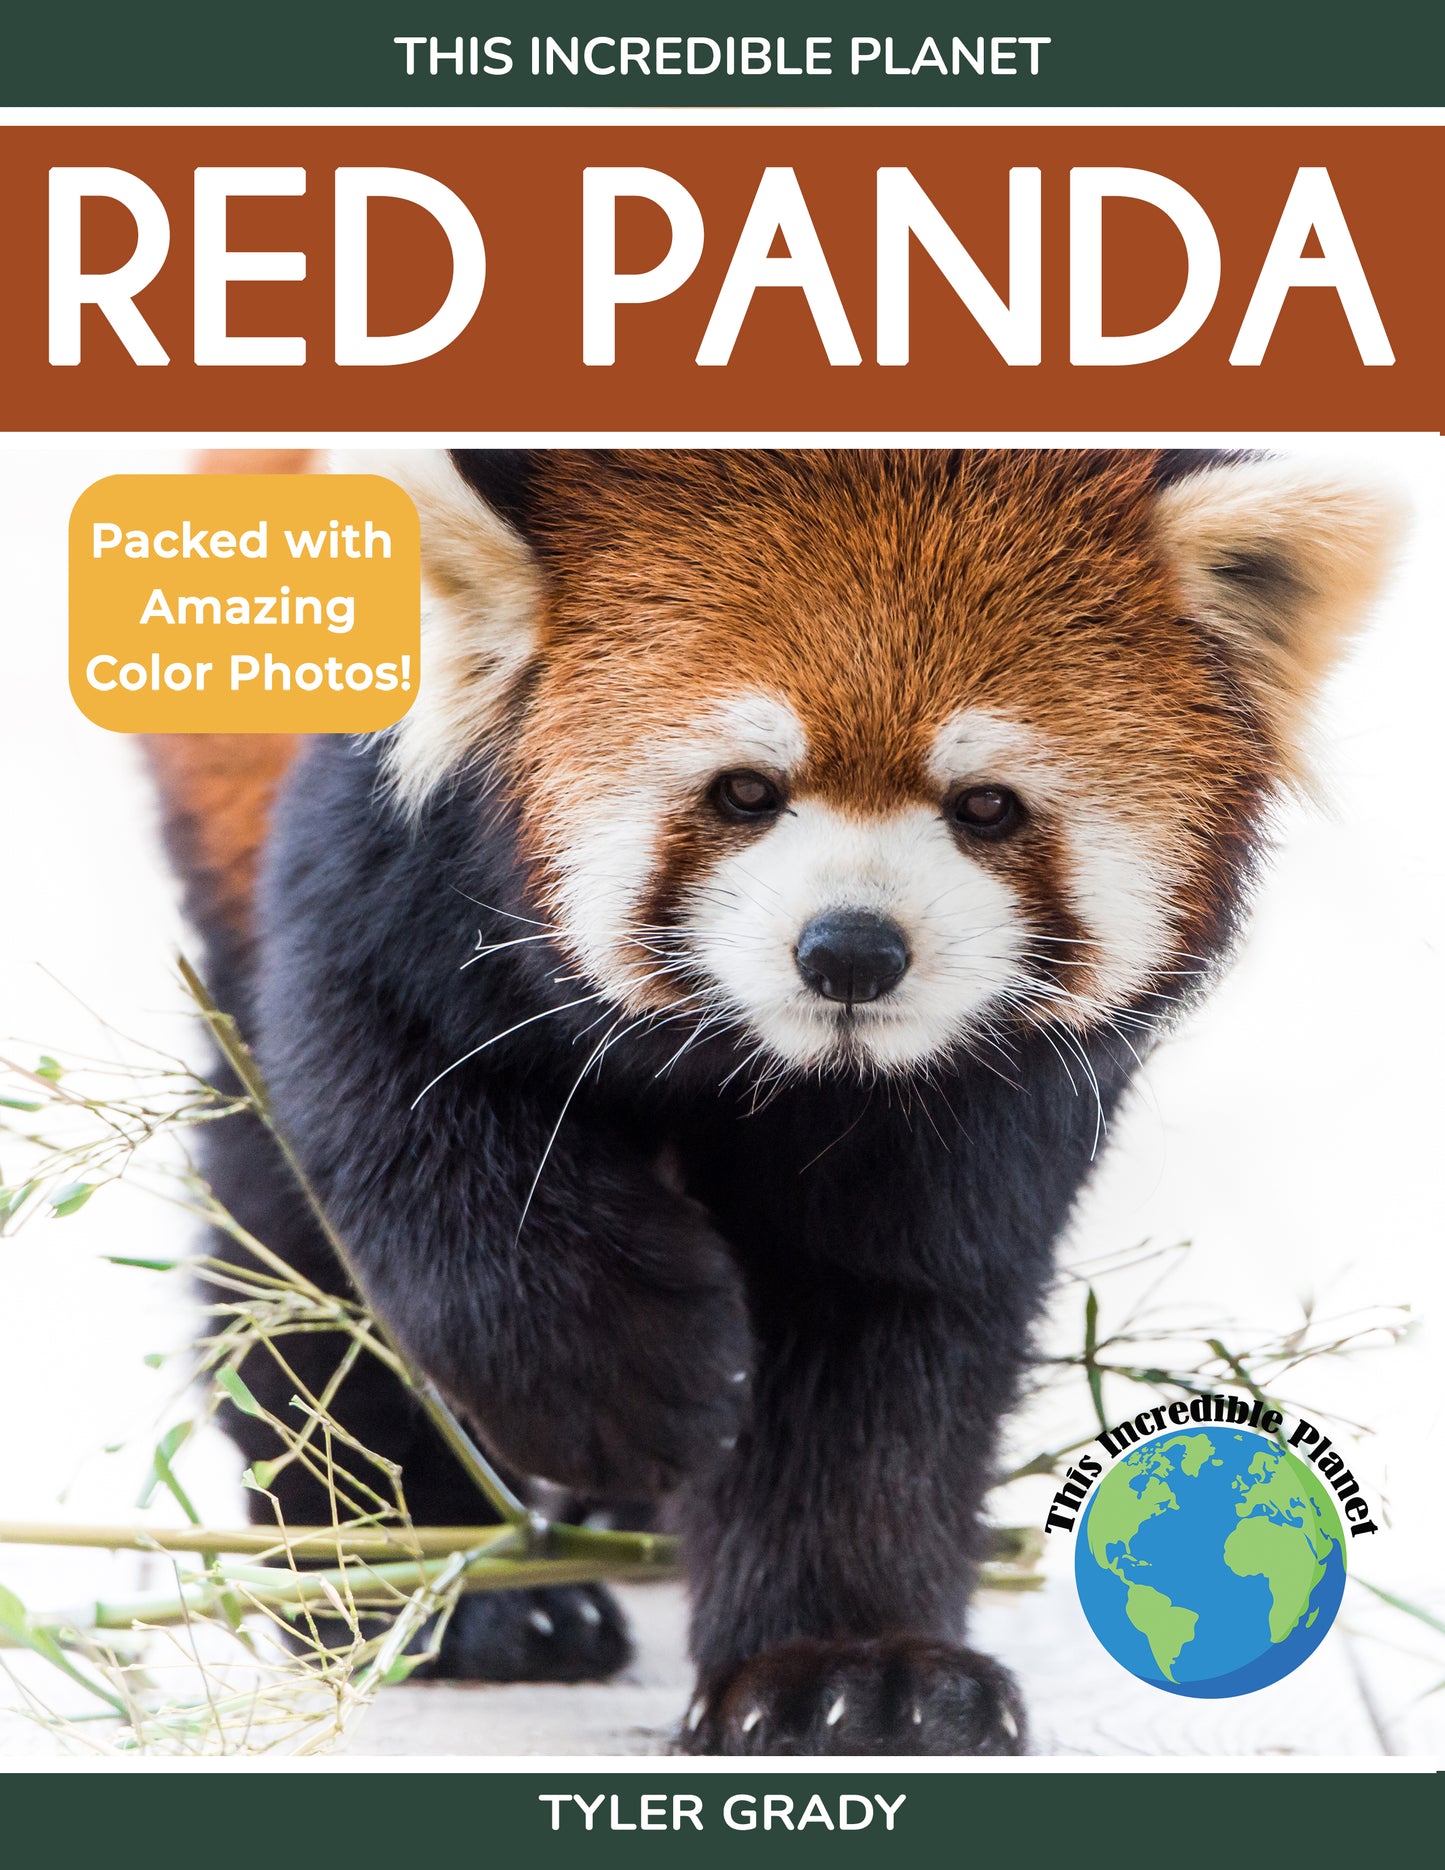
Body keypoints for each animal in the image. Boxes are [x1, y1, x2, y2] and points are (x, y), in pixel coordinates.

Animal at [144, 447, 1399, 1754]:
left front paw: (849, 1670)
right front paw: (622, 1387)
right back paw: (423, 1590)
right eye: (744, 790)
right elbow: (404, 1126)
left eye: (986, 806)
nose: (849, 950)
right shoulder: (390, 867)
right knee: (283, 1239)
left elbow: (877, 1316)